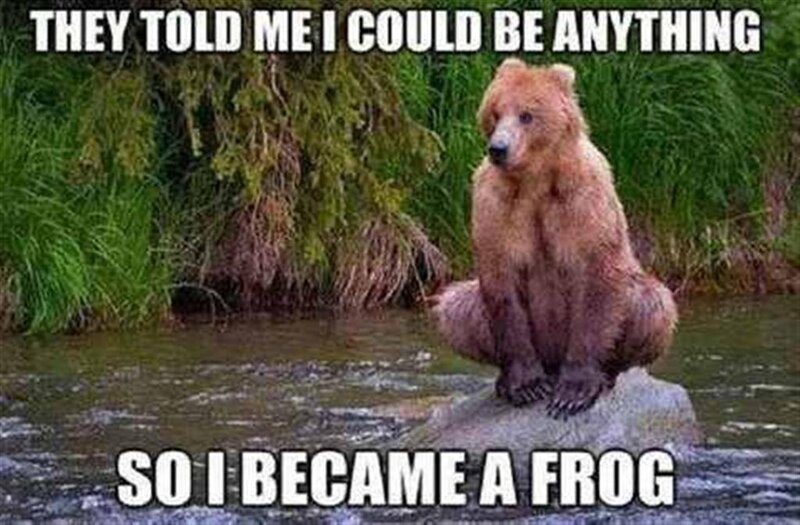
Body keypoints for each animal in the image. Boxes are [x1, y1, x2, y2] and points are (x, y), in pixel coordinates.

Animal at [432, 58, 677, 420]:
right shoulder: (496, 204)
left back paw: (607, 374)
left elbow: (597, 273)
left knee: (653, 302)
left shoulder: (582, 197)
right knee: (455, 306)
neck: (534, 178)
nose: (498, 149)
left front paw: (574, 392)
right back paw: (505, 380)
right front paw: (525, 385)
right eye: (495, 112)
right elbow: (501, 281)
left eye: (527, 114)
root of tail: (552, 361)